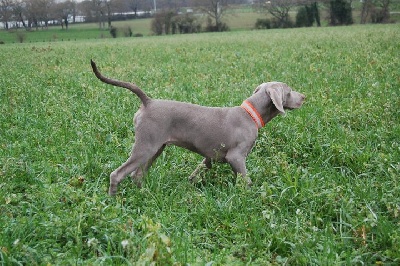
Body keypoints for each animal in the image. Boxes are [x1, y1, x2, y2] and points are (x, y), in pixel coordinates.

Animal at [89, 59, 304, 195]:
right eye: (289, 90)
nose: (304, 97)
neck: (250, 114)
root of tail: (148, 102)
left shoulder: (209, 158)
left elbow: (198, 172)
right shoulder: (236, 157)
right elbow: (245, 180)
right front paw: (250, 198)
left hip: (156, 148)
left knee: (137, 174)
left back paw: (144, 195)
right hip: (146, 146)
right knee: (117, 174)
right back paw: (114, 200)